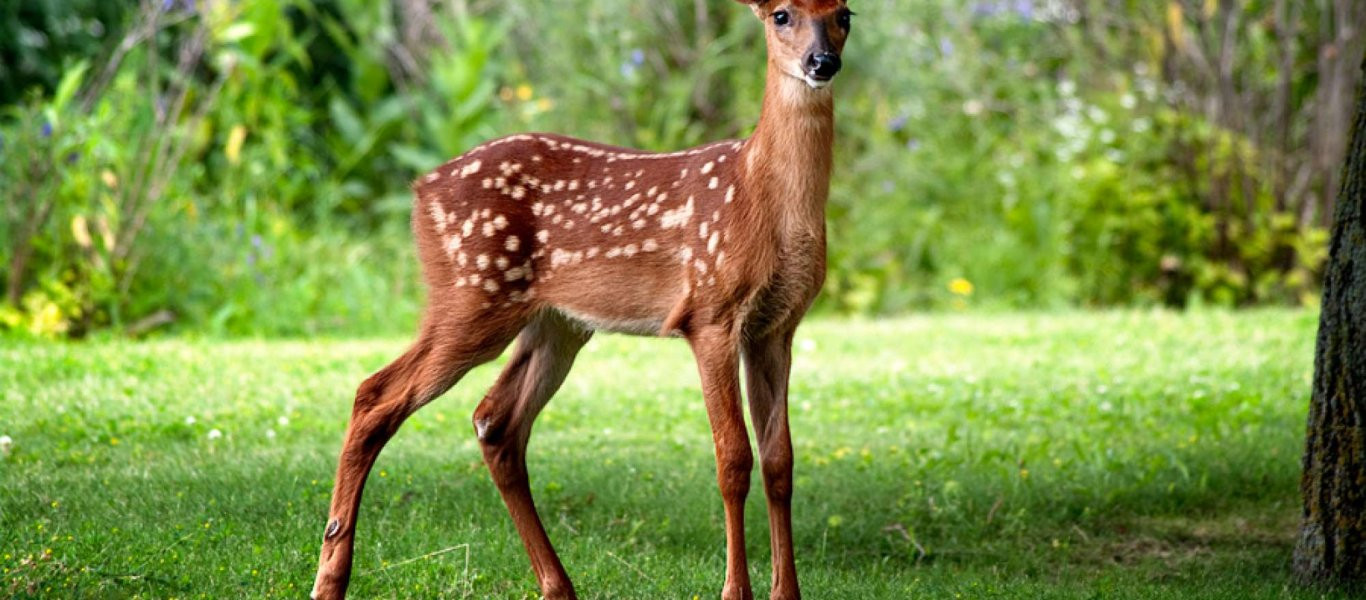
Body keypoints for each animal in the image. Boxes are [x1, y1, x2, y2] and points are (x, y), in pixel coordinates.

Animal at [312, 1, 852, 600]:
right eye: (781, 15)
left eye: (844, 14)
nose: (822, 62)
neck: (764, 197)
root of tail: (419, 190)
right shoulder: (710, 310)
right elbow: (732, 458)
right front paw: (735, 592)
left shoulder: (777, 325)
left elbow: (781, 460)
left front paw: (787, 592)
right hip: (472, 295)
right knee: (374, 395)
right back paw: (330, 578)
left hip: (555, 323)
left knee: (494, 420)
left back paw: (558, 585)